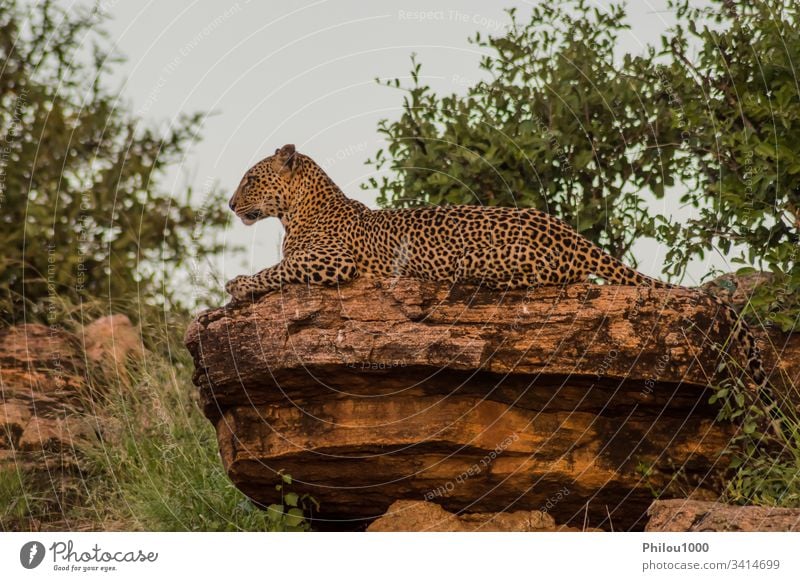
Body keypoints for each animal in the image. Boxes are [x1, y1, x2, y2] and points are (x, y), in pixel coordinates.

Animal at [223, 144, 768, 404]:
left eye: (250, 178)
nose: (229, 204)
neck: (298, 211)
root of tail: (569, 232)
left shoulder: (332, 260)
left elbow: (278, 268)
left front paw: (237, 286)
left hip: (490, 258)